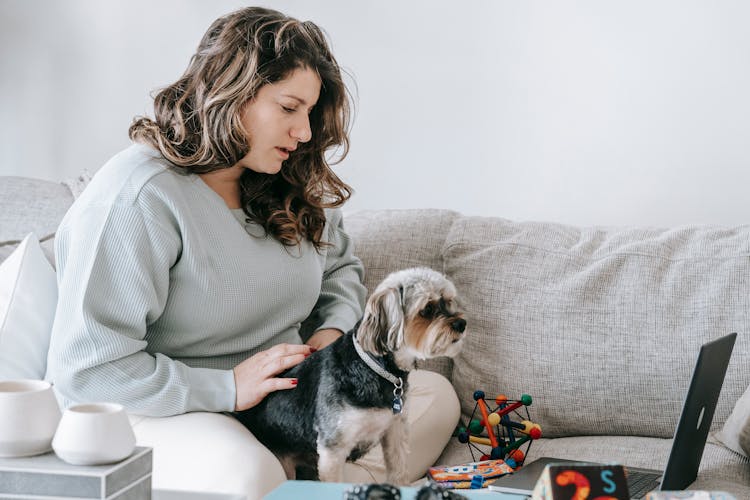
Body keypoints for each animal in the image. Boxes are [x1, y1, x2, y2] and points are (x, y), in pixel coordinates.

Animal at [236, 268, 470, 482]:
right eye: (427, 309)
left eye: (449, 301)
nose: (461, 323)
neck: (375, 368)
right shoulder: (332, 450)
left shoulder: (395, 431)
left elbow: (399, 471)